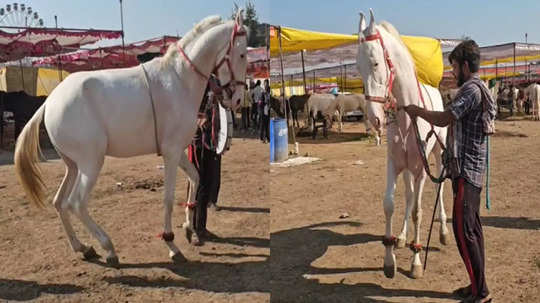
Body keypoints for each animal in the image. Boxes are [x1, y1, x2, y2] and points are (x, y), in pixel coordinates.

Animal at [13, 14, 248, 264]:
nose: (238, 100)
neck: (178, 81)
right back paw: (108, 247)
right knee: (76, 203)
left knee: (59, 202)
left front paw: (188, 228)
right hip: (91, 163)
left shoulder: (179, 151)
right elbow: (168, 198)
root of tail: (50, 101)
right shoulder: (171, 153)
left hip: (73, 166)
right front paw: (171, 243)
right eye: (242, 54)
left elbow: (195, 177)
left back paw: (83, 247)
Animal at [356, 10, 450, 280]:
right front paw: (390, 259)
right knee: (408, 195)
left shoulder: (421, 170)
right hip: (408, 169)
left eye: (376, 63)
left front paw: (416, 262)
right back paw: (401, 236)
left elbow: (418, 210)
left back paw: (442, 232)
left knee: (438, 189)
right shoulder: (395, 164)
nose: (374, 118)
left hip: (437, 156)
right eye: (357, 67)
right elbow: (390, 204)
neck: (409, 116)